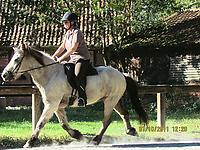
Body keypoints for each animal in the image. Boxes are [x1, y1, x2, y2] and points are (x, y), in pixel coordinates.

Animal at [1, 42, 148, 148]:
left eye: (16, 59)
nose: (4, 75)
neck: (50, 74)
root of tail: (122, 74)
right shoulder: (57, 106)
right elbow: (64, 124)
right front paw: (79, 135)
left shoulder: (51, 105)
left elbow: (40, 123)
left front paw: (29, 142)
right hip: (114, 100)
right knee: (124, 114)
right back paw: (130, 131)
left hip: (110, 101)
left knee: (107, 120)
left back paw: (96, 140)